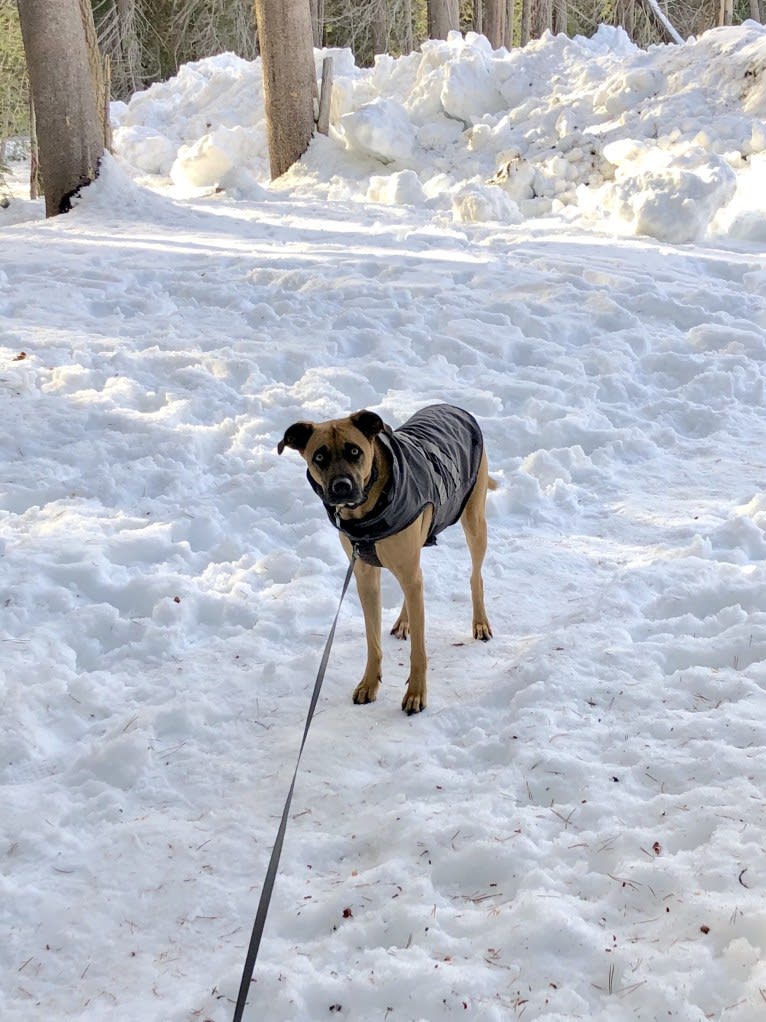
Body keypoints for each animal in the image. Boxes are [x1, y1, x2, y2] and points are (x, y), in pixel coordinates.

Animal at [279, 402, 494, 715]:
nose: (341, 487)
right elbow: (372, 640)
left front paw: (416, 694)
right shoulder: (365, 575)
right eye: (319, 456)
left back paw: (480, 623)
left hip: (474, 520)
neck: (365, 516)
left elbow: (419, 650)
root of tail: (452, 406)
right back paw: (404, 621)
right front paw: (369, 684)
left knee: (474, 576)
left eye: (354, 451)